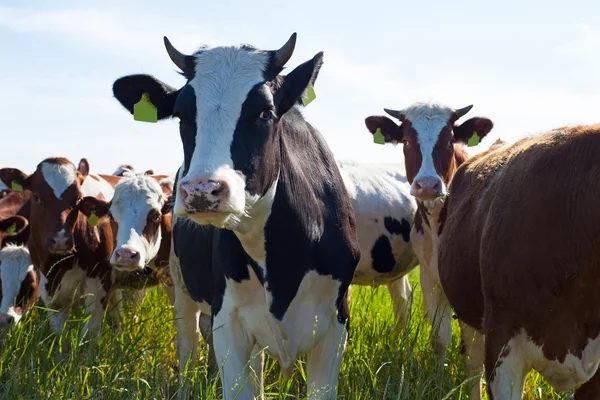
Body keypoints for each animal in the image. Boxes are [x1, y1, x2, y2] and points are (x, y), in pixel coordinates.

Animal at [110, 32, 358, 398]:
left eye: (265, 113)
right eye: (181, 115)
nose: (202, 189)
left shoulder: (335, 324)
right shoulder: (228, 321)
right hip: (181, 285)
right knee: (188, 346)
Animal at [364, 101, 494, 396]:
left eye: (449, 140)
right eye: (405, 141)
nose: (427, 185)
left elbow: (476, 353)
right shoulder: (429, 278)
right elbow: (439, 338)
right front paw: (438, 381)